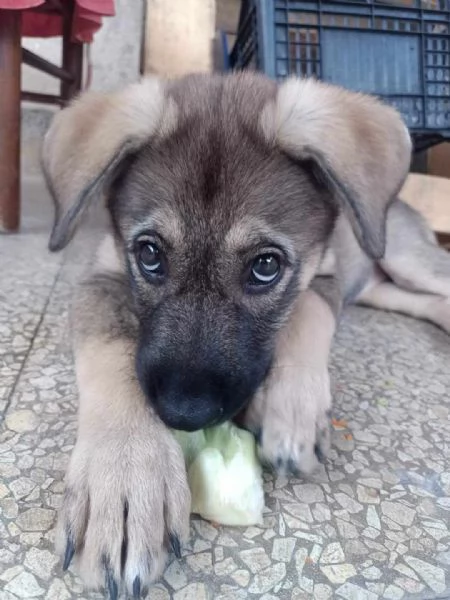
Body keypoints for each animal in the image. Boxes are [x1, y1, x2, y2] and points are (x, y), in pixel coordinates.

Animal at [42, 74, 450, 596]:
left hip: (404, 258)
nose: (185, 414)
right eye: (150, 255)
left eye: (266, 266)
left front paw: (288, 409)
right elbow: (114, 354)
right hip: (384, 287)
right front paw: (125, 476)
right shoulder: (100, 280)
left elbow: (305, 315)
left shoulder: (325, 278)